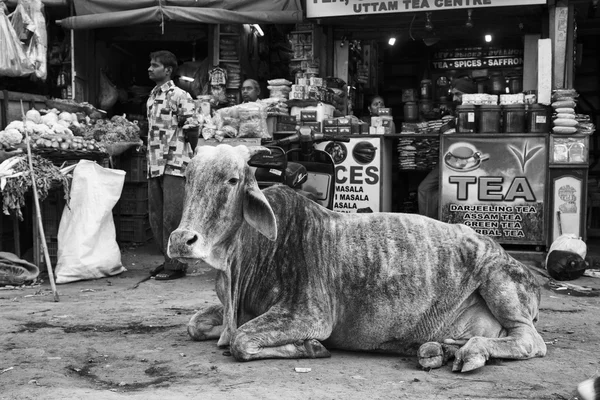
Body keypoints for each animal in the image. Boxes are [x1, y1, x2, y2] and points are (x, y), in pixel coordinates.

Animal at [166, 144, 548, 372]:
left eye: (232, 180)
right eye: (187, 177)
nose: (182, 240)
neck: (246, 258)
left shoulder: (309, 314)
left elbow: (241, 341)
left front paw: (311, 348)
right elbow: (195, 325)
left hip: (499, 281)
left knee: (530, 340)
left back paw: (471, 351)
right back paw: (442, 349)